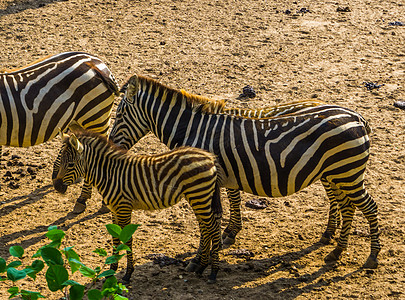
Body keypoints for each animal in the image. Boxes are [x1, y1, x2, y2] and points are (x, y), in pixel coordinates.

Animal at [52, 129, 223, 284]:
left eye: (71, 164)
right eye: (61, 162)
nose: (57, 187)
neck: (109, 174)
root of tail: (209, 157)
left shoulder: (124, 208)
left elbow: (127, 240)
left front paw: (128, 273)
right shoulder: (114, 210)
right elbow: (115, 238)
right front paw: (111, 270)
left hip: (199, 195)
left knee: (213, 228)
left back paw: (213, 272)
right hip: (198, 198)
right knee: (206, 228)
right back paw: (201, 268)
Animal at [107, 74, 378, 268]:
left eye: (120, 113)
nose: (111, 145)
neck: (193, 129)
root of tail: (357, 116)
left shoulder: (206, 180)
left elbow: (209, 218)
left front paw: (201, 259)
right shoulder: (221, 175)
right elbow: (224, 208)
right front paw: (220, 243)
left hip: (347, 173)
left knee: (367, 207)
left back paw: (371, 257)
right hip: (336, 173)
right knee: (346, 205)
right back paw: (335, 249)